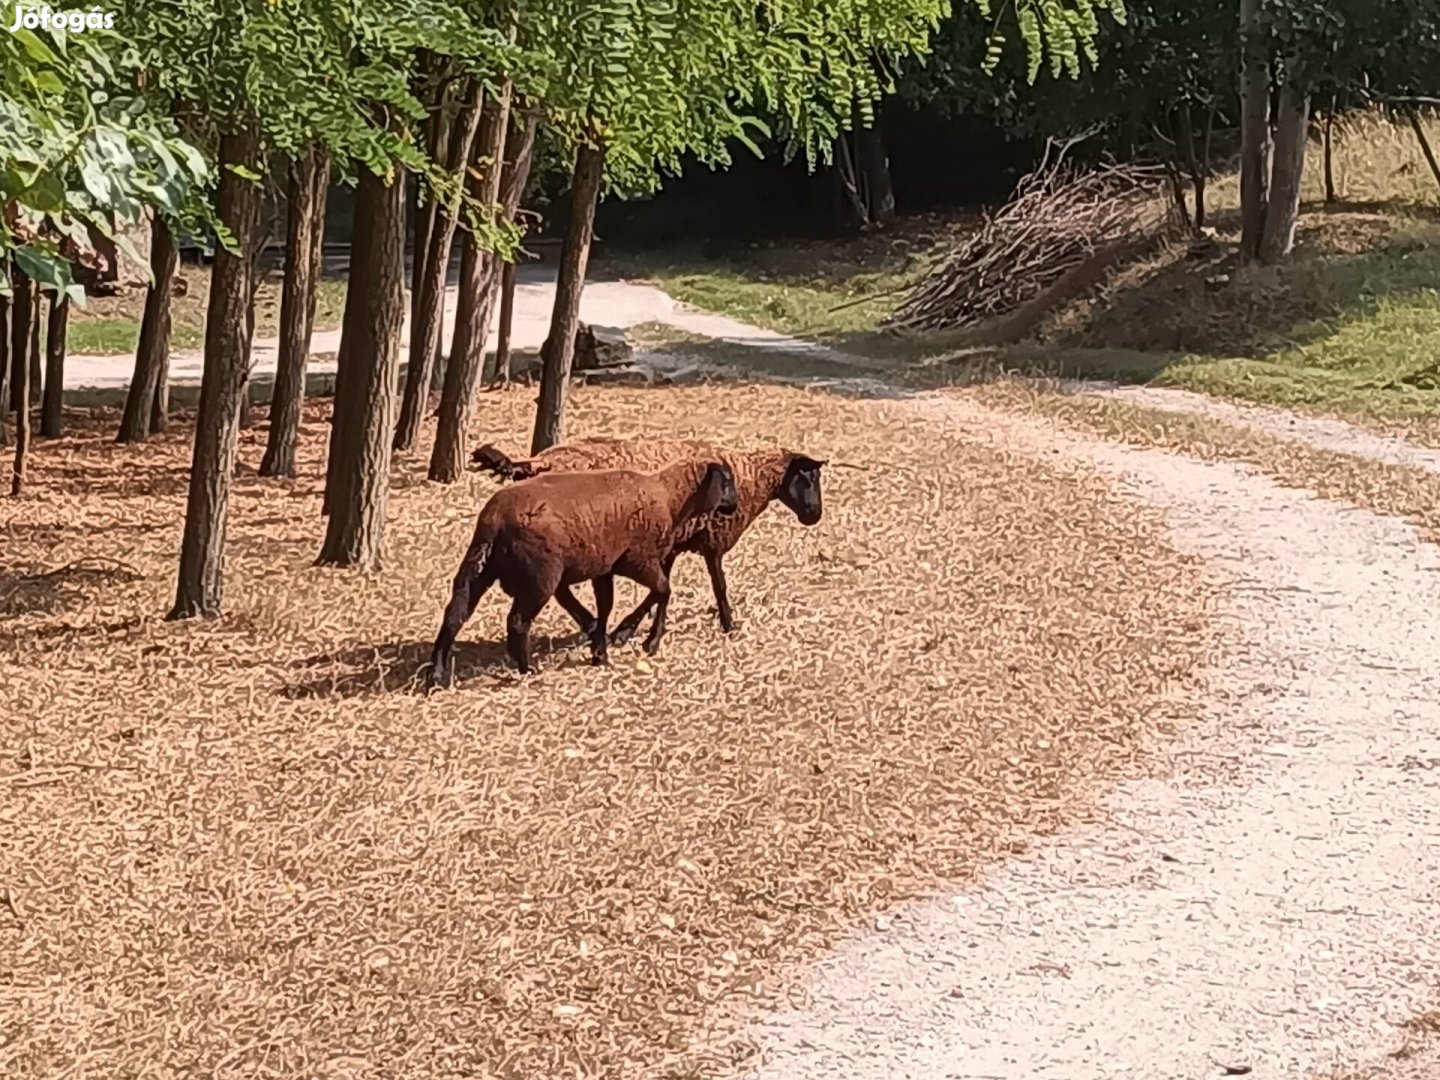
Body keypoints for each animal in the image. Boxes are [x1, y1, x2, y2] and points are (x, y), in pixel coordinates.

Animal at [423, 460, 743, 688]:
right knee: (517, 621)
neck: (671, 499)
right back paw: (527, 669)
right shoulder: (637, 560)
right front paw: (647, 641)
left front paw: (601, 651)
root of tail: (495, 521)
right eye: (727, 482)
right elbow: (663, 590)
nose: (735, 506)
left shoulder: (605, 567)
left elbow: (606, 606)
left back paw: (436, 675)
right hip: (541, 576)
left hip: (479, 568)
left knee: (455, 614)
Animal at [472, 437, 829, 642]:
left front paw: (644, 632)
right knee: (557, 588)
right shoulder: (710, 540)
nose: (815, 515)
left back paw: (591, 625)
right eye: (808, 477)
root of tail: (538, 463)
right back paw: (591, 625)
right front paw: (729, 625)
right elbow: (717, 586)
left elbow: (663, 589)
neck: (749, 478)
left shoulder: (670, 544)